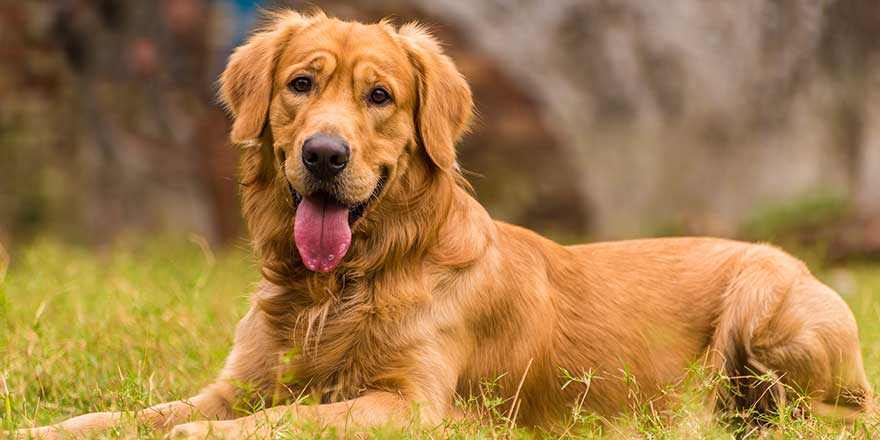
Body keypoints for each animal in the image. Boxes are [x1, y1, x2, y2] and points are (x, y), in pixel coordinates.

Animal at [17, 10, 868, 440]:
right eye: (301, 85)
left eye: (380, 97)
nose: (324, 155)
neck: (342, 285)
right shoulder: (236, 383)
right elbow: (130, 413)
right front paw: (54, 429)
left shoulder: (410, 403)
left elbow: (287, 419)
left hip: (766, 296)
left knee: (835, 414)